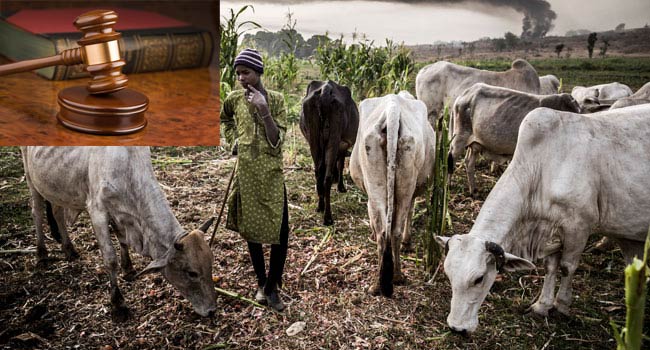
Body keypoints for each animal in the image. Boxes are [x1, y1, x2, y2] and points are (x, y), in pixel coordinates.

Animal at [21, 146, 216, 322]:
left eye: (211, 265)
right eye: (191, 273)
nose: (212, 310)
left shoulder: (120, 214)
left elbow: (122, 240)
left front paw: (128, 268)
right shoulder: (97, 211)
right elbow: (110, 259)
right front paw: (118, 303)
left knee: (57, 211)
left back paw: (69, 249)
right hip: (31, 178)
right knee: (36, 212)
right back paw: (42, 254)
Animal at [300, 80, 360, 226]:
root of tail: (326, 90)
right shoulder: (342, 146)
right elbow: (340, 164)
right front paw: (340, 186)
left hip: (314, 140)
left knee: (318, 174)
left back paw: (320, 206)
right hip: (333, 139)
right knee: (325, 177)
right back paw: (327, 217)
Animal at [350, 91, 436, 296]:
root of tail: (393, 107)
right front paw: (407, 241)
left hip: (377, 184)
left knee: (385, 232)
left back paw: (381, 283)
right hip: (404, 182)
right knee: (392, 230)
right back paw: (395, 277)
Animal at [432, 104, 648, 334]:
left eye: (479, 279)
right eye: (448, 275)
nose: (457, 328)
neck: (543, 168)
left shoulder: (579, 226)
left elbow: (567, 267)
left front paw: (561, 306)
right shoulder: (551, 231)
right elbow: (551, 267)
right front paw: (542, 305)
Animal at [448, 83, 580, 196]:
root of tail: (465, 94)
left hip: (475, 144)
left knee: (468, 162)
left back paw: (473, 191)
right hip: (459, 138)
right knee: (451, 159)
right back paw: (449, 185)